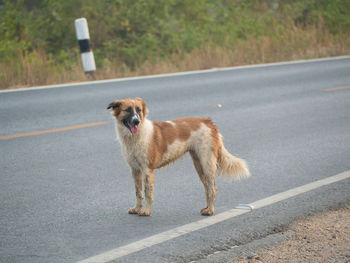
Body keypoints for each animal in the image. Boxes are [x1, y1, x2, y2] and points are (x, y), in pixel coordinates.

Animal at [106, 97, 249, 217]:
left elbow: (147, 193)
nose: (136, 121)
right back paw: (207, 208)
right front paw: (136, 209)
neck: (135, 136)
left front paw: (146, 211)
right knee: (207, 187)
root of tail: (208, 122)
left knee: (213, 188)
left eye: (138, 110)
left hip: (206, 163)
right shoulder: (135, 170)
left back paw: (210, 211)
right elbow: (138, 192)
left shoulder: (147, 170)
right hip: (199, 164)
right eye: (127, 110)